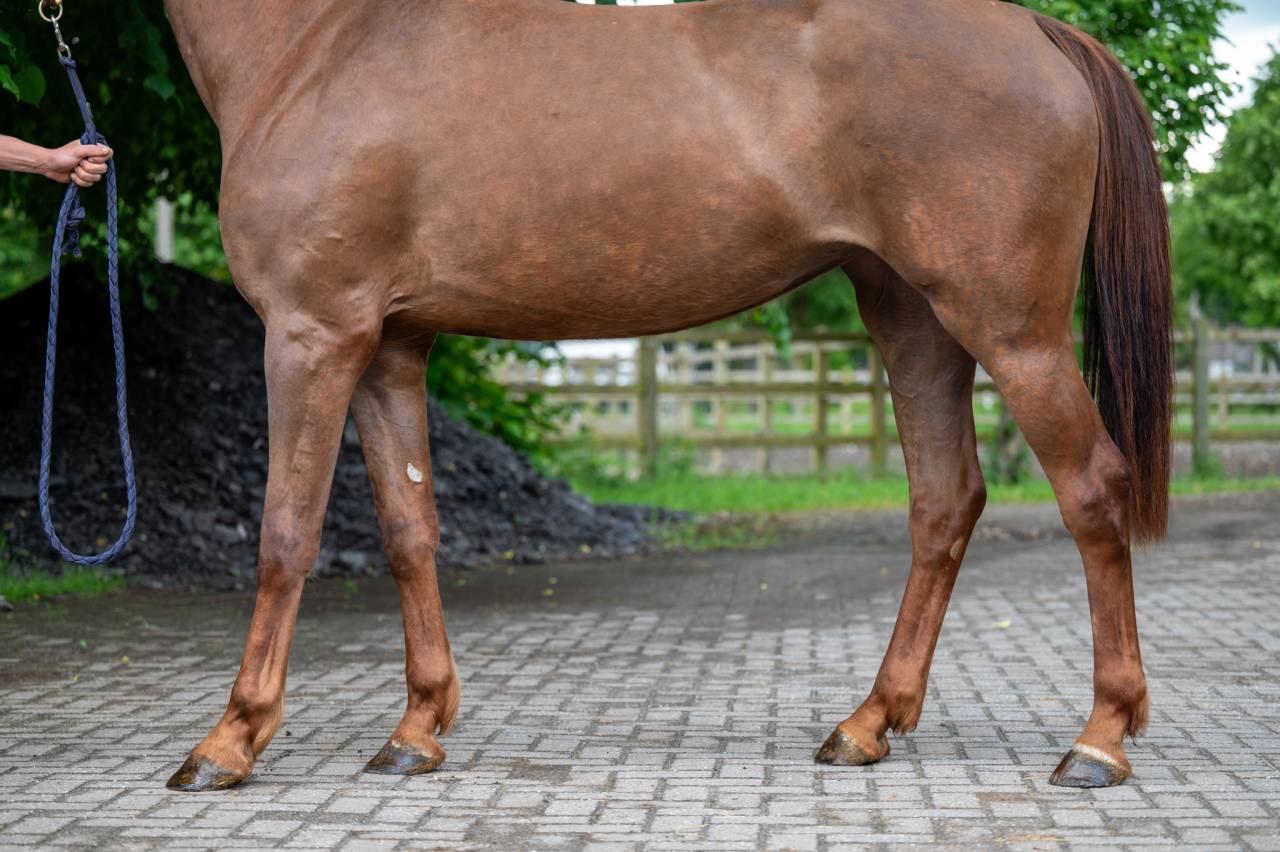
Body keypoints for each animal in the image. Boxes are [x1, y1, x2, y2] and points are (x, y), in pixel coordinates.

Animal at [162, 0, 1171, 792]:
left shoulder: (313, 335)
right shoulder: (388, 349)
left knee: (1092, 488)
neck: (319, 43)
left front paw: (230, 739)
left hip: (1011, 330)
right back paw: (866, 724)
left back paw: (1099, 741)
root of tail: (1037, 33)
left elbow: (284, 534)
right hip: (914, 322)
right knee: (944, 501)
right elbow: (409, 530)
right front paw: (416, 730)